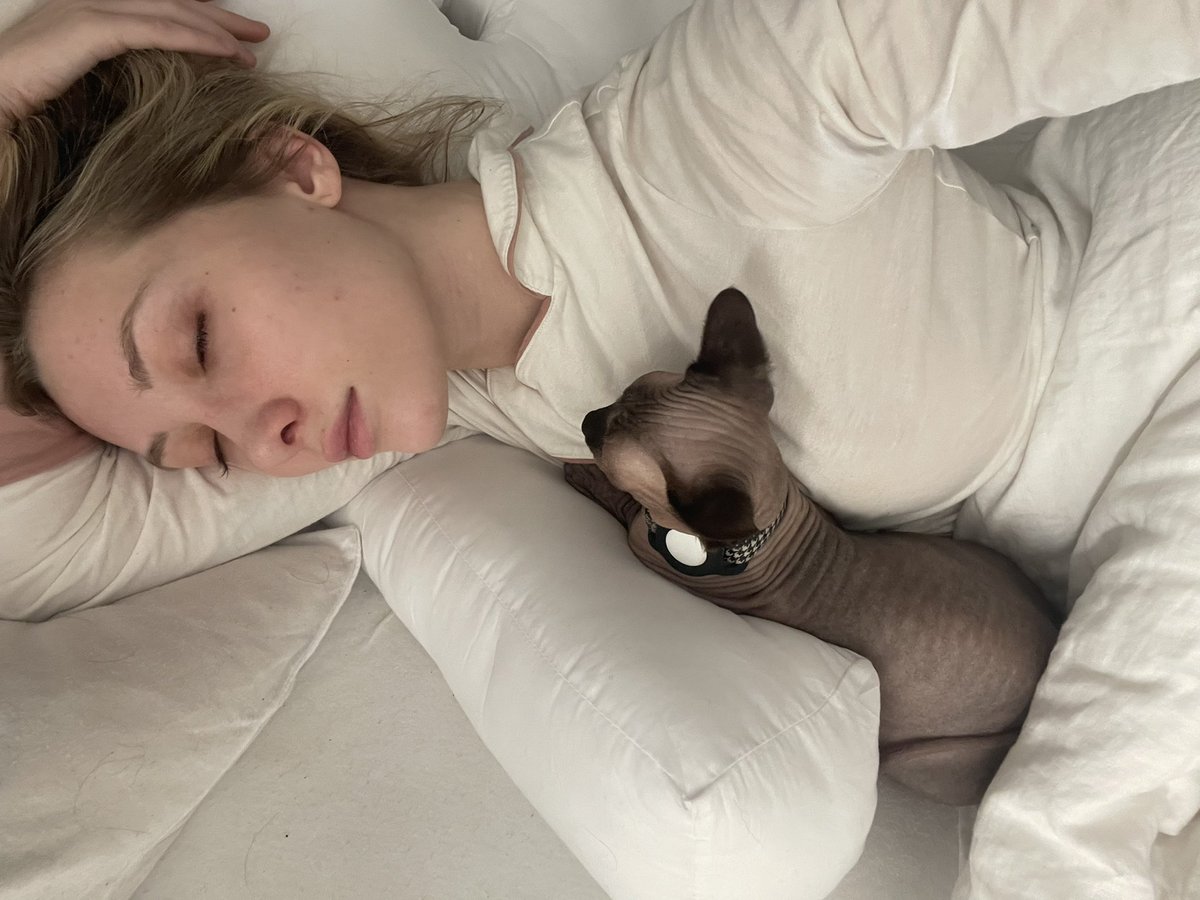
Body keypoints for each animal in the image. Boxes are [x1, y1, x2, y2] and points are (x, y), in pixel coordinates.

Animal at [563, 288, 1060, 806]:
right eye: (619, 395)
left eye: (604, 444)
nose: (587, 419)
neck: (766, 540)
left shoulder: (640, 535)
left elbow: (620, 502)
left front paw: (581, 473)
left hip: (911, 760)